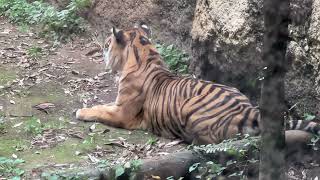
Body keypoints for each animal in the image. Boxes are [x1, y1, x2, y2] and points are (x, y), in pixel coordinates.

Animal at [75, 22, 320, 145]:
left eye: (108, 43)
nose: (102, 50)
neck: (144, 53)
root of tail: (248, 109)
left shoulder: (122, 112)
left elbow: (100, 110)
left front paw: (80, 111)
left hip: (190, 109)